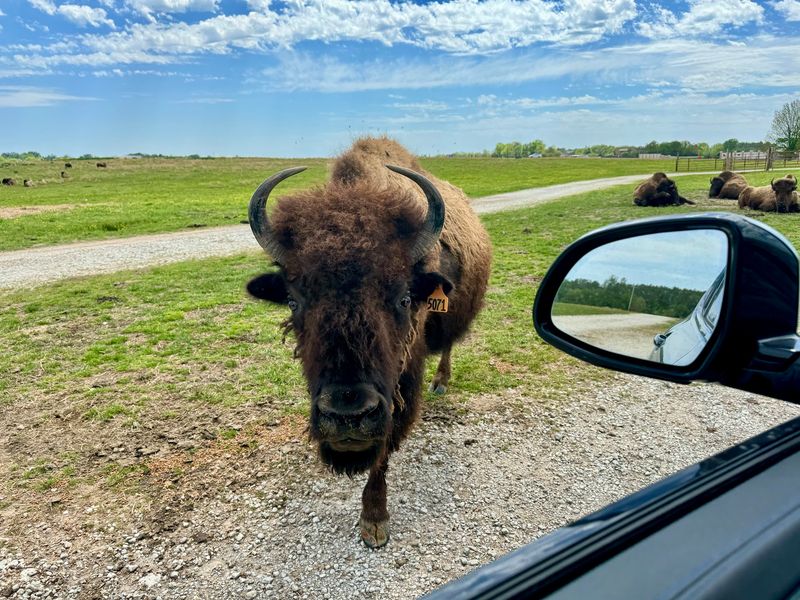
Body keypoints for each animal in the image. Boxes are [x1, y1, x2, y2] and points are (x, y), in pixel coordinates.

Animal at [246, 137, 492, 547]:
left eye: (405, 298)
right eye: (294, 301)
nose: (347, 416)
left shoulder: (401, 386)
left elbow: (384, 448)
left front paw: (374, 521)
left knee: (448, 345)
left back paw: (441, 382)